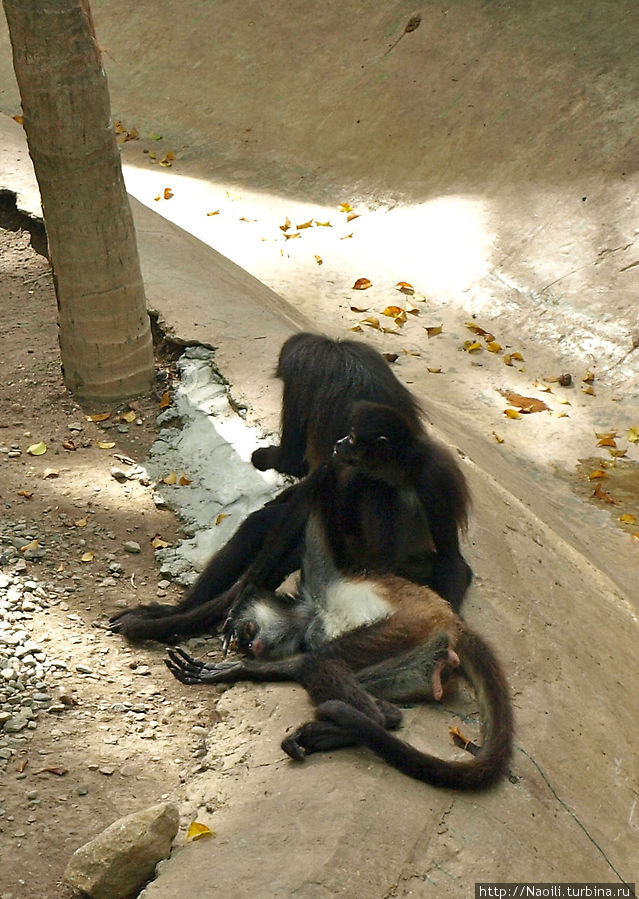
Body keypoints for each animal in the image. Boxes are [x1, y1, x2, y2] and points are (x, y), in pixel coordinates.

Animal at [166, 404, 516, 792]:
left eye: (245, 634)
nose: (248, 647)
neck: (312, 614)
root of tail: (451, 616)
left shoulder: (319, 577)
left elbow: (319, 495)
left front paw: (235, 650)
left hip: (411, 623)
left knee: (321, 664)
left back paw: (351, 722)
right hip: (418, 660)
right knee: (383, 705)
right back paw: (364, 722)